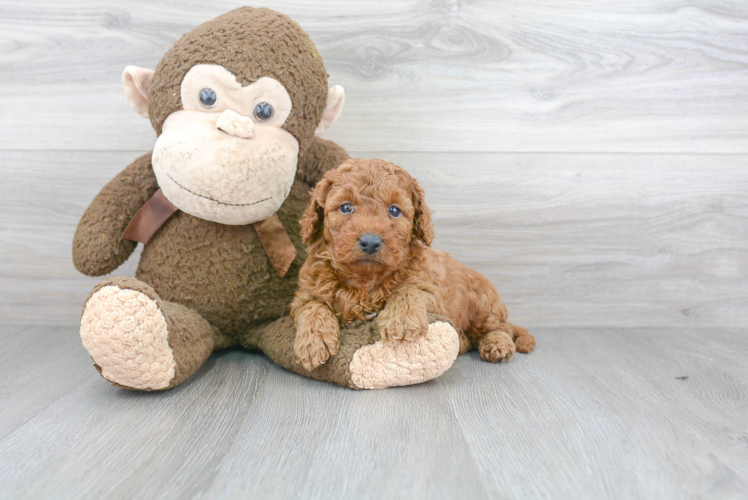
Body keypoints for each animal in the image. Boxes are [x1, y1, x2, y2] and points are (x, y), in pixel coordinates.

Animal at [290, 159, 536, 372]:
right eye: (346, 207)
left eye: (394, 210)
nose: (370, 242)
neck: (365, 279)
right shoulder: (305, 293)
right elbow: (312, 306)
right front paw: (313, 340)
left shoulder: (434, 294)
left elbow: (409, 289)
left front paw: (401, 319)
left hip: (484, 302)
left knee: (498, 327)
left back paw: (498, 344)